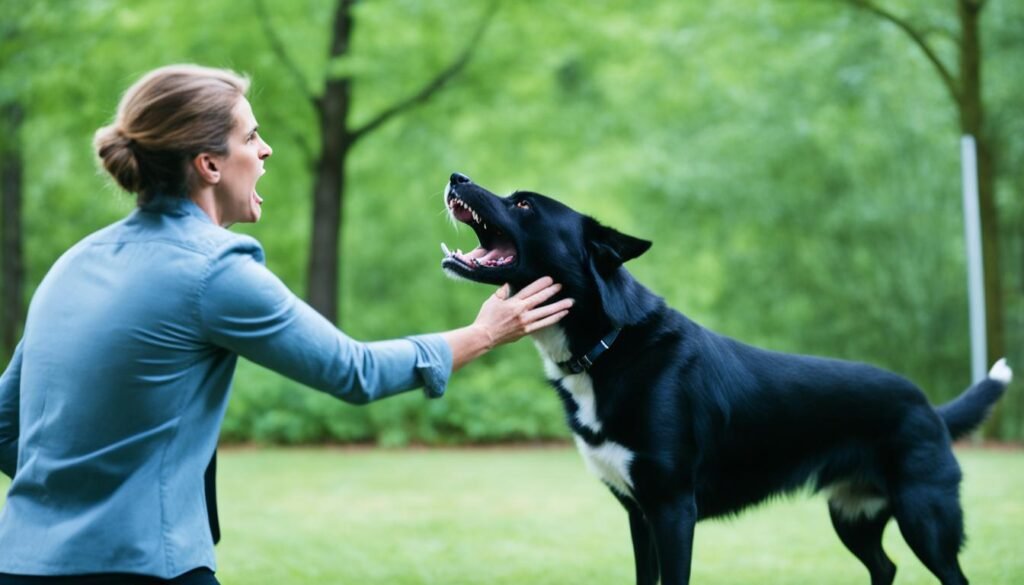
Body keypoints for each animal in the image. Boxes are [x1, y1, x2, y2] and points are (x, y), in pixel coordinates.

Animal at [438, 174, 1007, 585]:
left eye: (524, 205)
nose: (456, 176)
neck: (608, 346)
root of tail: (929, 406)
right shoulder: (639, 516)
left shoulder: (672, 511)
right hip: (853, 516)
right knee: (884, 566)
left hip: (926, 517)